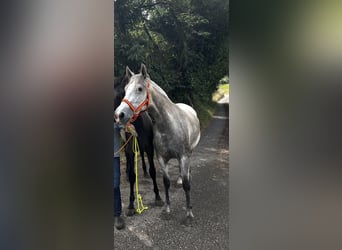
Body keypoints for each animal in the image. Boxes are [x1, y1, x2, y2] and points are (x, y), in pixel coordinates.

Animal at [115, 63, 200, 220]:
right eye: (125, 89)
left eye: (139, 89)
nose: (119, 115)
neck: (168, 124)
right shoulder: (161, 158)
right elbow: (165, 183)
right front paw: (167, 208)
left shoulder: (183, 156)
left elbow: (186, 185)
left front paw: (189, 212)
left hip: (189, 153)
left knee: (187, 170)